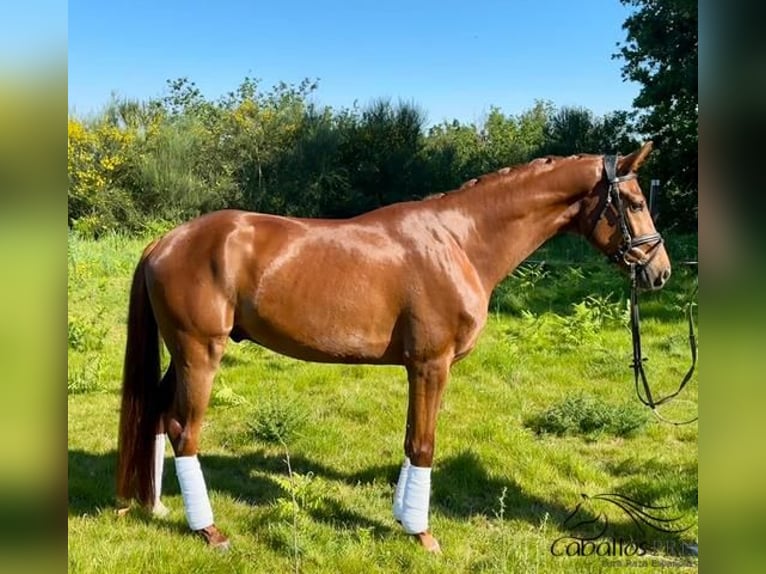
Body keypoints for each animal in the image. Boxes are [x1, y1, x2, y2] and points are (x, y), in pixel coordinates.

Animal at [115, 141, 672, 552]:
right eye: (636, 203)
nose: (659, 272)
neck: (458, 242)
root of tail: (164, 242)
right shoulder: (431, 365)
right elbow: (424, 444)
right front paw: (422, 535)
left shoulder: (417, 367)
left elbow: (409, 442)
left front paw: (403, 519)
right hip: (199, 354)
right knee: (184, 430)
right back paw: (208, 530)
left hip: (182, 355)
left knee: (158, 417)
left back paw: (156, 505)